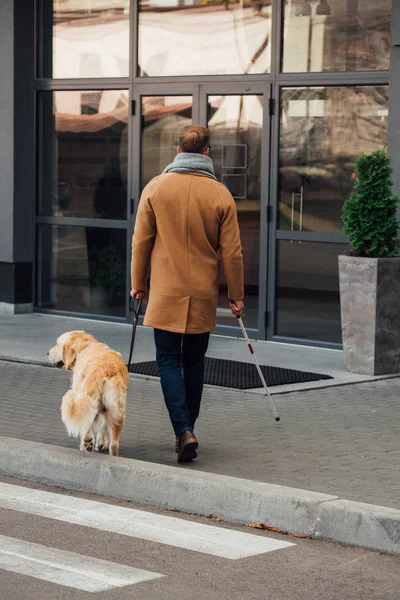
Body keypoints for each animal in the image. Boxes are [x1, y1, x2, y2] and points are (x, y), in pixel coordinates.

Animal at [47, 330, 129, 458]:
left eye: (57, 344)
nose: (47, 353)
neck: (85, 347)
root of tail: (102, 369)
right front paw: (101, 442)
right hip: (117, 410)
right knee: (114, 443)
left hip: (84, 397)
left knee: (86, 423)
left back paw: (87, 442)